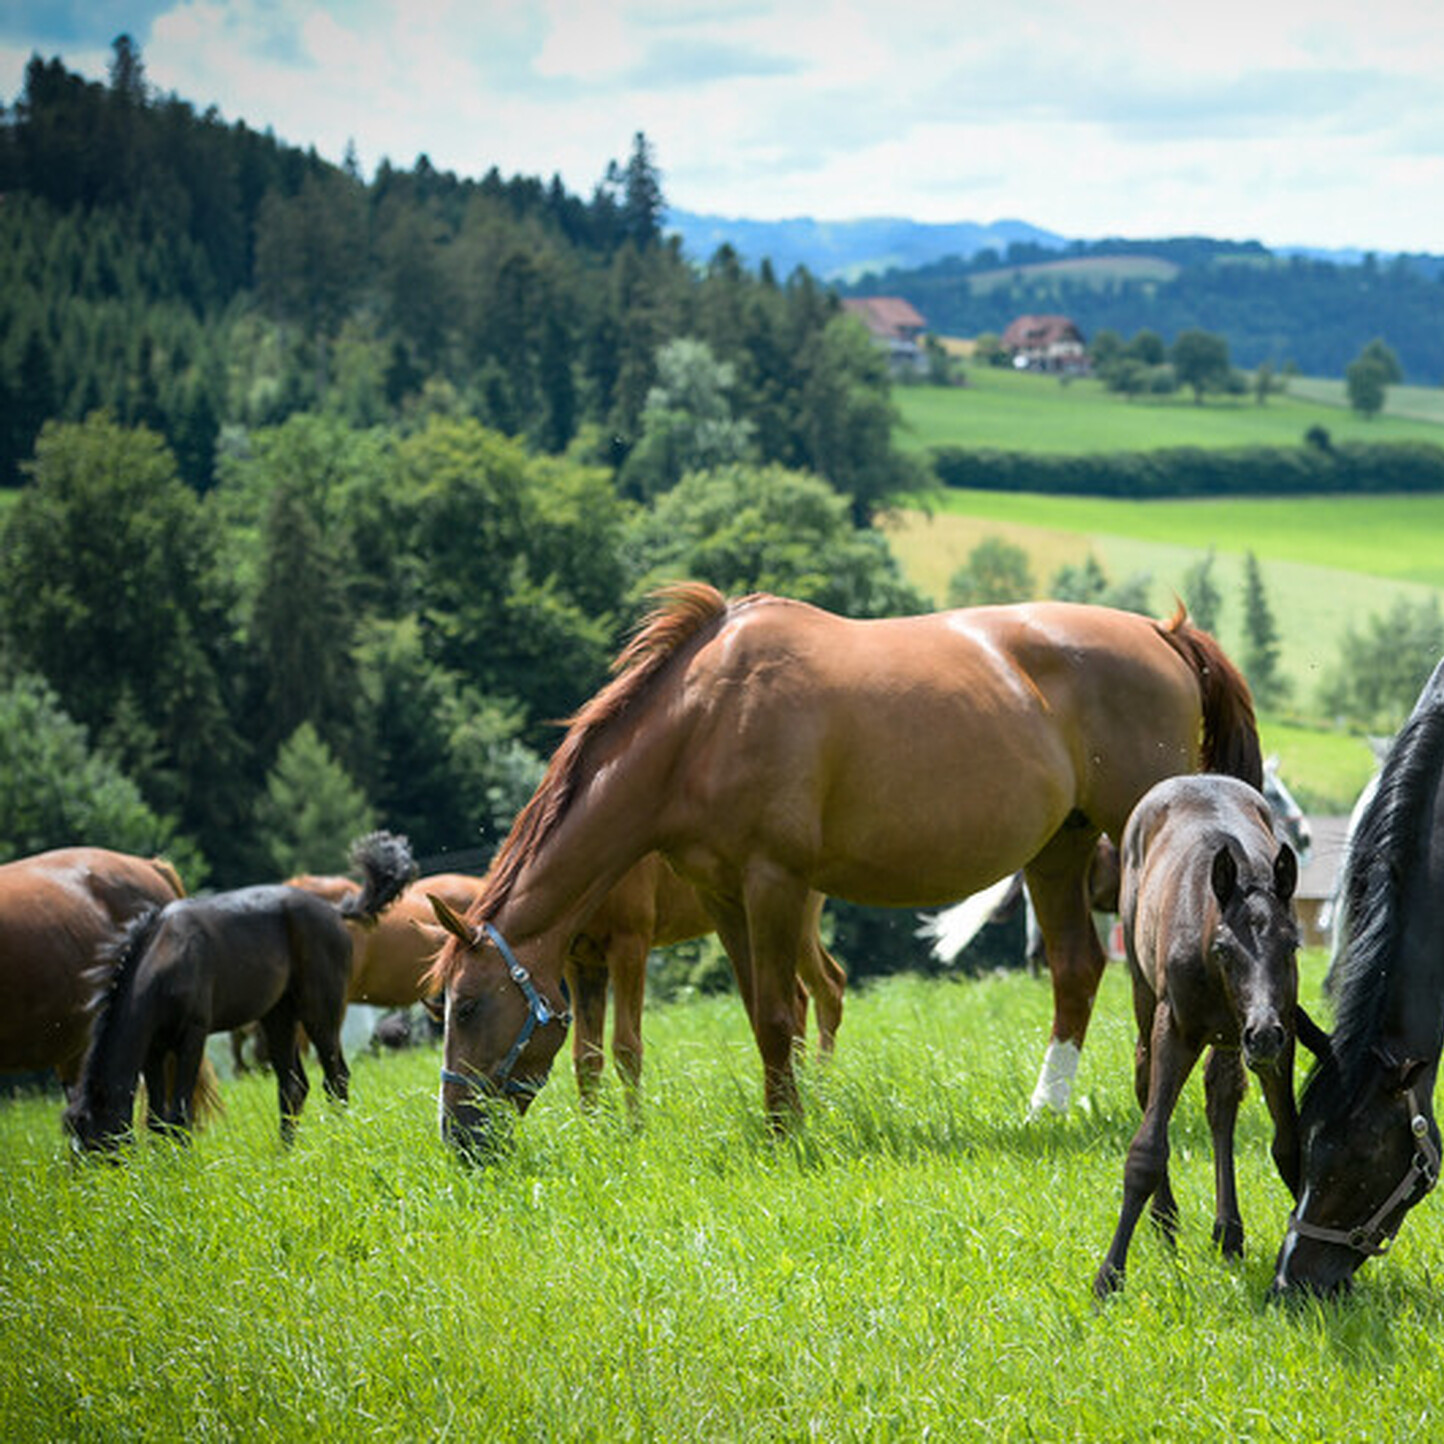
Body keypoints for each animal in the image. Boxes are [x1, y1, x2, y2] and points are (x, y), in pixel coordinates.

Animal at [64, 831, 415, 1152]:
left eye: (96, 1139)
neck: (164, 959)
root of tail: (334, 910)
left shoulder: (192, 1036)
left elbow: (179, 1113)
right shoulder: (154, 1049)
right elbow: (156, 1119)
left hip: (320, 1013)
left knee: (336, 1077)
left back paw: (337, 1142)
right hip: (278, 1017)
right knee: (293, 1085)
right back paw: (285, 1152)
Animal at [427, 584, 1260, 1158]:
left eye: (467, 1007)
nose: (460, 1137)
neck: (704, 717)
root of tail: (1164, 634)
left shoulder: (773, 882)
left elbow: (775, 1014)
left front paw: (784, 1135)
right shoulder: (722, 894)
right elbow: (765, 1011)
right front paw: (786, 1119)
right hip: (1060, 847)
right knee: (1076, 969)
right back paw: (1047, 1109)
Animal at [1094, 775, 1301, 1296]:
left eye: (1292, 944)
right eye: (1225, 948)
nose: (1262, 1034)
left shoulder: (1284, 1035)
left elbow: (1290, 1144)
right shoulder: (1176, 1027)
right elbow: (1146, 1149)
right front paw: (1109, 1276)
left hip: (1232, 1039)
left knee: (1221, 1100)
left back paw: (1229, 1232)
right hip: (1146, 995)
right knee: (1145, 1079)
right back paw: (1166, 1220)